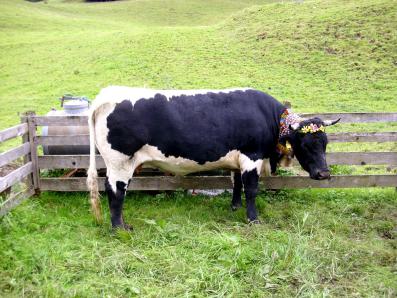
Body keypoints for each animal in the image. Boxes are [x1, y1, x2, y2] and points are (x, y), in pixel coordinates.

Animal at [86, 85, 338, 228]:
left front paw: (235, 206)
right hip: (120, 161)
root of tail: (105, 94)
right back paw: (119, 227)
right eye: (305, 144)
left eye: (324, 143)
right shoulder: (252, 156)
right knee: (116, 191)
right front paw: (253, 219)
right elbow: (252, 189)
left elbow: (236, 183)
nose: (324, 174)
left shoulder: (237, 159)